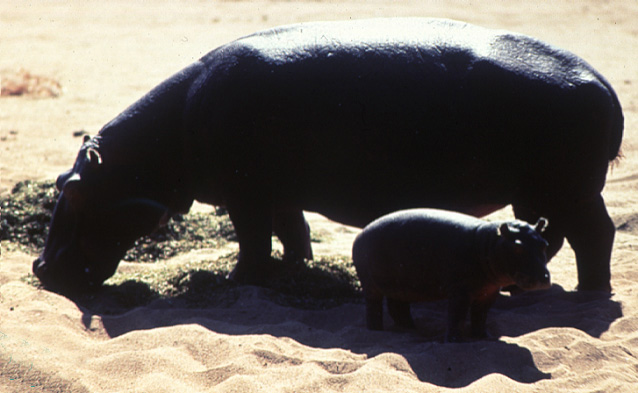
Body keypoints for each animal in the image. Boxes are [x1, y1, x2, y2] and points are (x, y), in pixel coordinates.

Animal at [32, 19, 624, 294]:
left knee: (596, 234)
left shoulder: (246, 193)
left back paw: (589, 292)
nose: (41, 268)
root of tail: (603, 82)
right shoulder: (276, 191)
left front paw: (239, 282)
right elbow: (290, 228)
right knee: (561, 234)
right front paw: (298, 269)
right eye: (60, 180)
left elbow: (253, 238)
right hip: (541, 191)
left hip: (569, 187)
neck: (152, 152)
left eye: (74, 192)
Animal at [352, 208, 552, 340]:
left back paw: (411, 329)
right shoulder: (460, 291)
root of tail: (360, 234)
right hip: (370, 286)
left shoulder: (488, 292)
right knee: (374, 308)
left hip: (400, 285)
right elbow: (457, 315)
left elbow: (480, 316)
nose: (542, 279)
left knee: (397, 307)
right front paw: (456, 341)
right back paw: (376, 330)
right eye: (518, 248)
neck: (489, 243)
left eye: (544, 244)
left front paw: (484, 337)